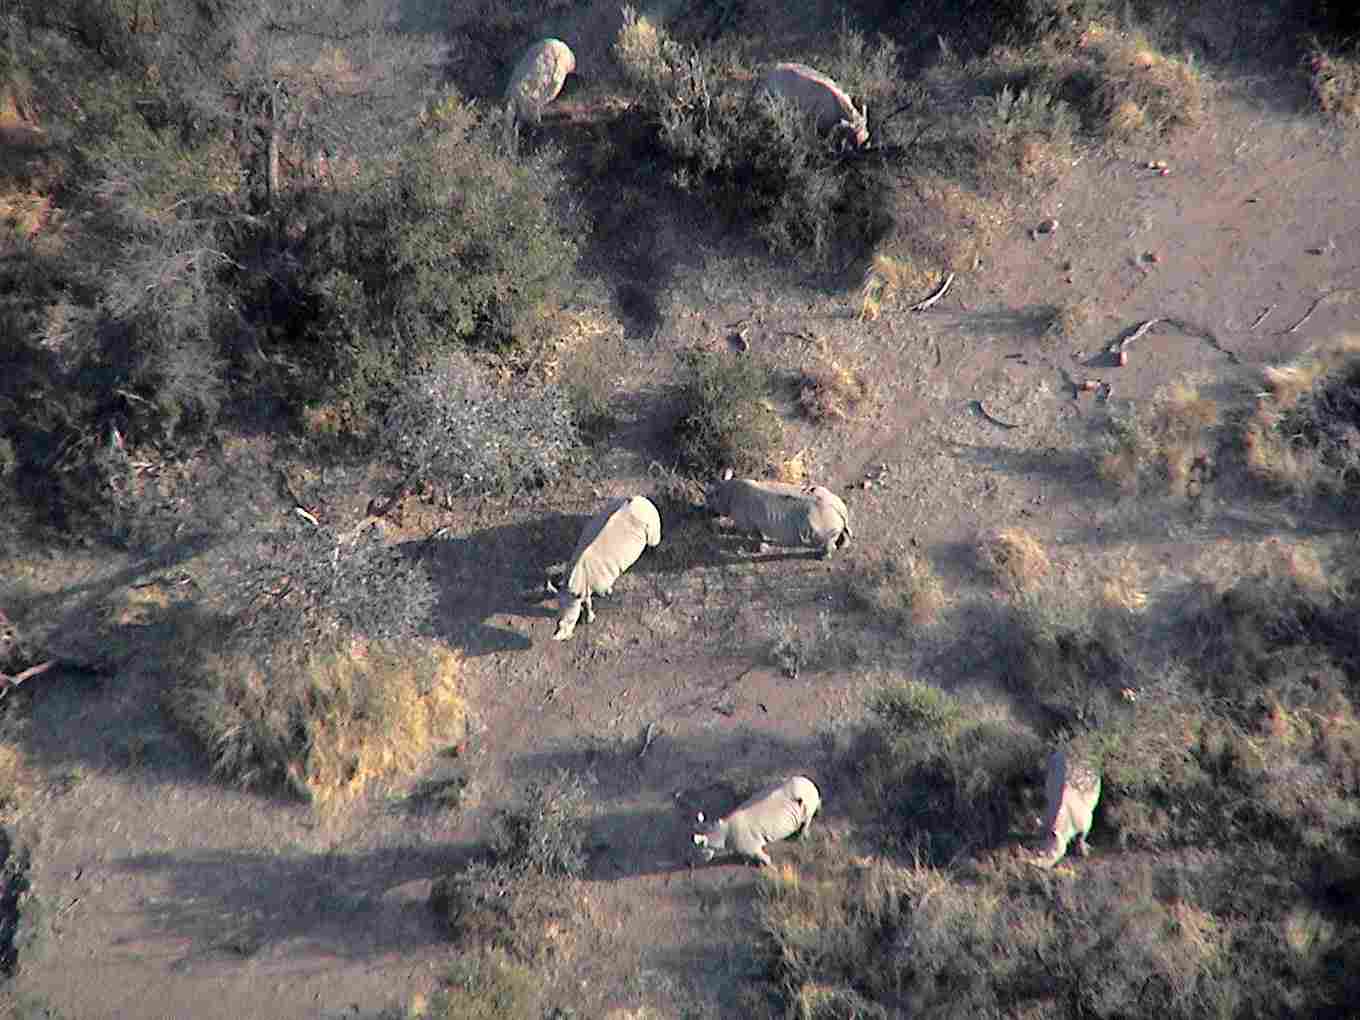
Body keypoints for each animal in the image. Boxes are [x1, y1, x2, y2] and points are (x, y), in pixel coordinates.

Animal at [549, 497, 660, 647]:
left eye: (572, 622)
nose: (564, 639)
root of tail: (641, 499)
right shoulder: (582, 588)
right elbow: (587, 600)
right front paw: (589, 617)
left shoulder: (598, 582)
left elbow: (594, 596)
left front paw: (605, 595)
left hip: (651, 515)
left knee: (653, 540)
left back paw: (652, 553)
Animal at [712, 470, 848, 560]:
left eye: (709, 499)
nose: (710, 513)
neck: (726, 491)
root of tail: (838, 507)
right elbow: (759, 534)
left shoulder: (746, 523)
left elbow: (752, 536)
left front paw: (753, 547)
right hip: (832, 507)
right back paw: (843, 547)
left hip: (821, 519)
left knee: (825, 539)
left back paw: (823, 557)